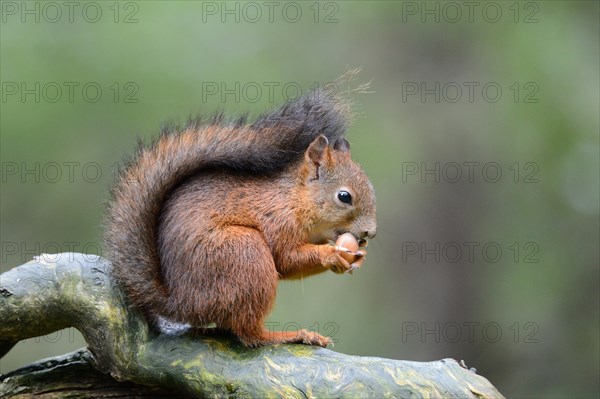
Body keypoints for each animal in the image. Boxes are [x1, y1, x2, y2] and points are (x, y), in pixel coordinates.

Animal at [103, 85, 376, 346]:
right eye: (344, 196)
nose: (370, 232)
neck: (294, 199)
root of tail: (180, 302)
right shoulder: (276, 220)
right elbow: (286, 258)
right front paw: (331, 254)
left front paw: (358, 258)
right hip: (245, 253)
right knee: (248, 333)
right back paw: (288, 335)